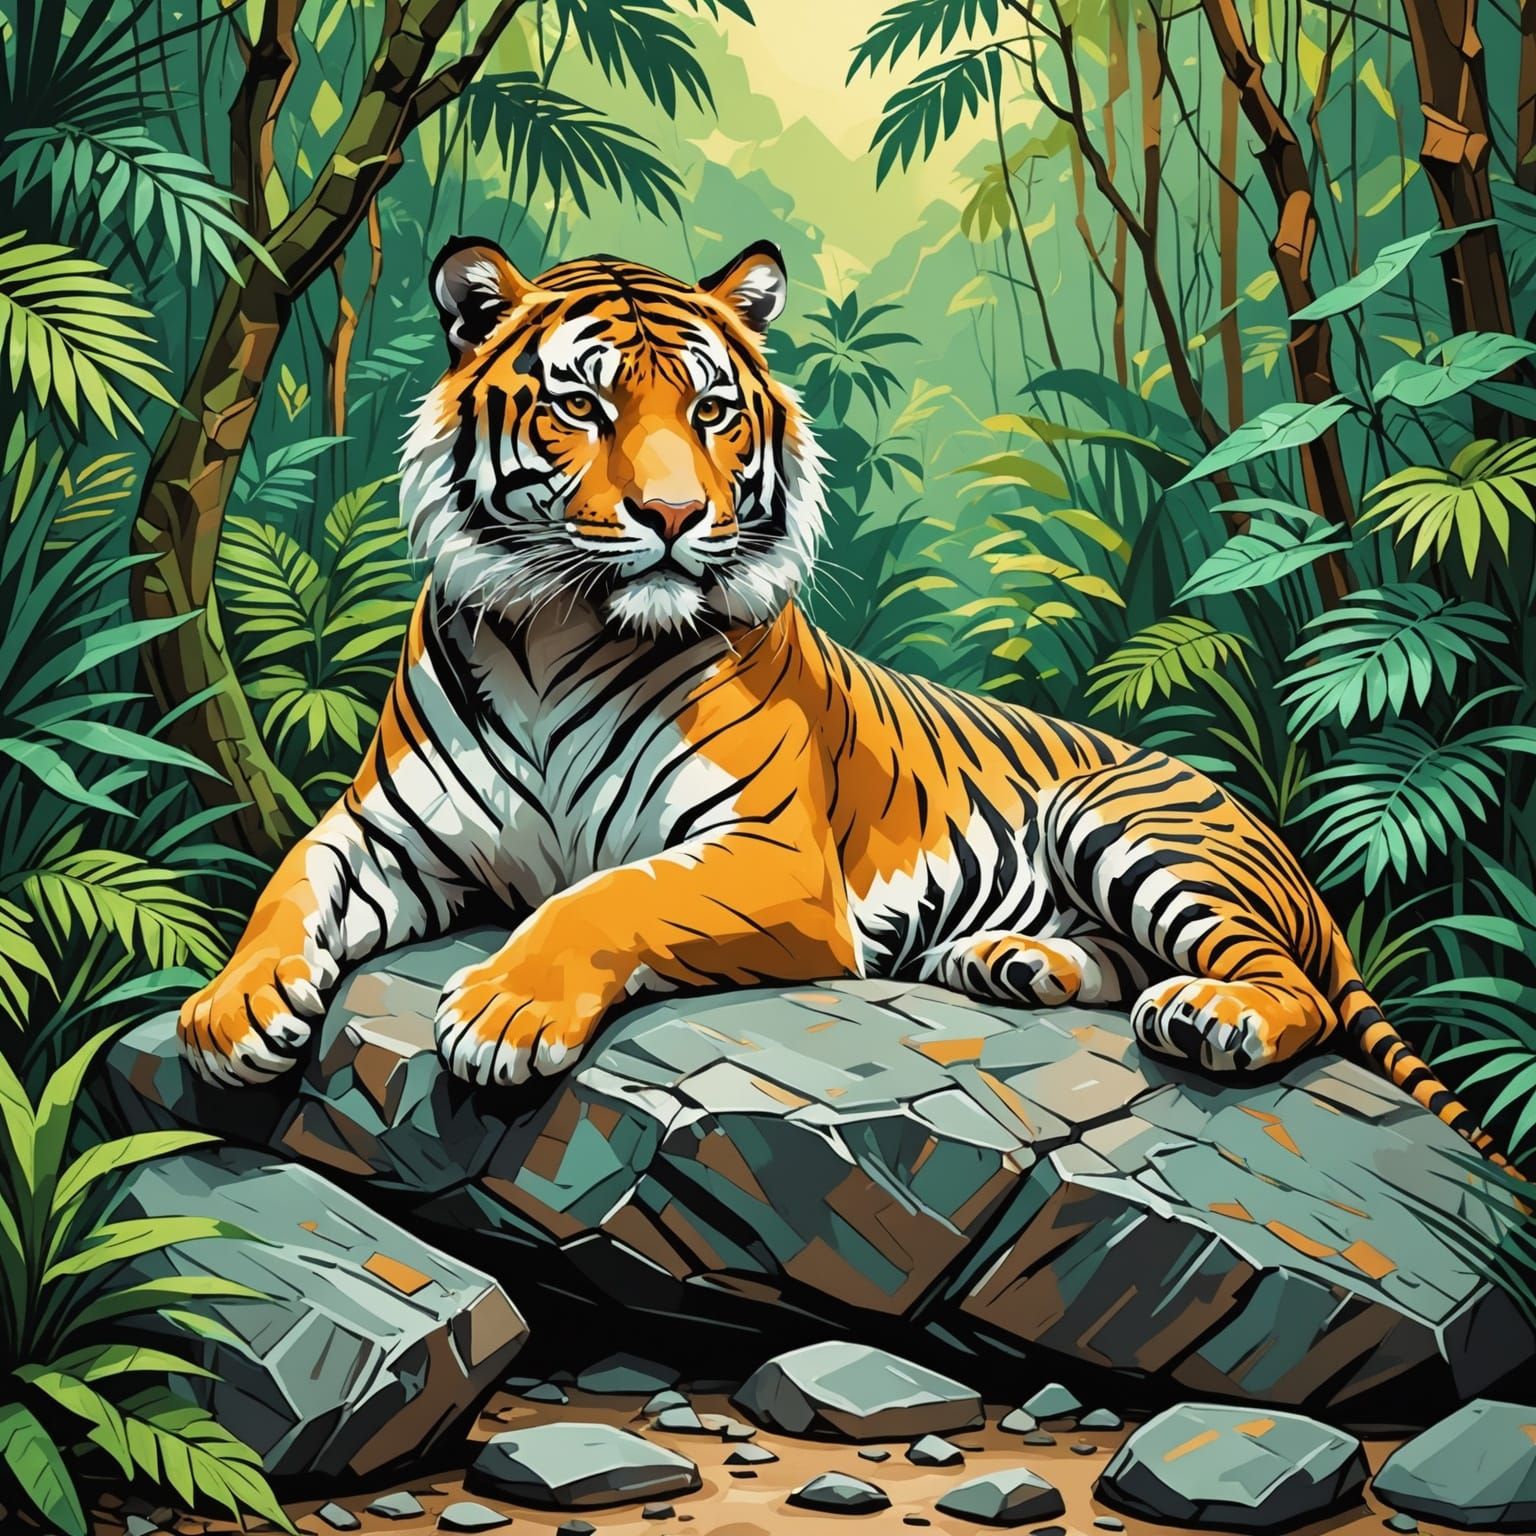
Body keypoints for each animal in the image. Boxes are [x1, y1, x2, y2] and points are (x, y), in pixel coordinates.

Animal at [179, 234, 1512, 1174]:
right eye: (583, 406)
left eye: (711, 410)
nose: (675, 517)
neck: (563, 629)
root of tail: (1286, 853)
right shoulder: (389, 833)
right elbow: (288, 882)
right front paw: (230, 1011)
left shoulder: (769, 857)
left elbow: (605, 894)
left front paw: (506, 1009)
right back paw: (1010, 963)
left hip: (1120, 817)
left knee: (1288, 993)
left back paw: (1210, 1016)